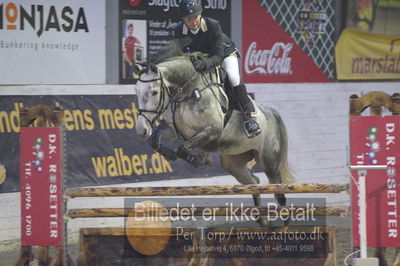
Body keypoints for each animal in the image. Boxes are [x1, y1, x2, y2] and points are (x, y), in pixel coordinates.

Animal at [134, 54, 294, 218]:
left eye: (154, 92)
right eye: (136, 91)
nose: (141, 130)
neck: (188, 92)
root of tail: (270, 112)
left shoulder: (213, 130)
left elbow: (183, 148)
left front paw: (199, 159)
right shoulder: (174, 130)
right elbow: (155, 141)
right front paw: (170, 155)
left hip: (269, 162)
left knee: (279, 194)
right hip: (234, 162)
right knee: (253, 182)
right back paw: (263, 220)